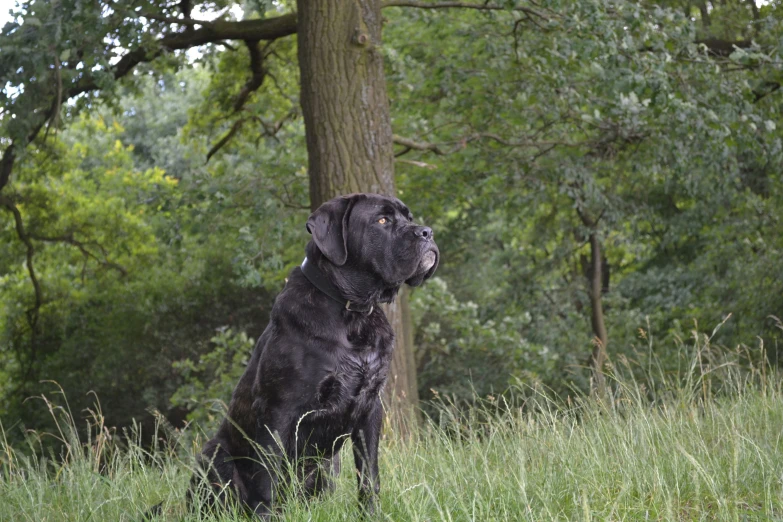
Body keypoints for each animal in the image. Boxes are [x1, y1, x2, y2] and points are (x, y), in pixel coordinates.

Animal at [188, 192, 438, 516]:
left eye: (409, 217)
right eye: (382, 220)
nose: (427, 232)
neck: (352, 313)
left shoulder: (370, 409)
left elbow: (369, 475)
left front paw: (370, 514)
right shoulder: (278, 411)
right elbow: (267, 481)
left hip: (328, 466)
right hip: (214, 453)